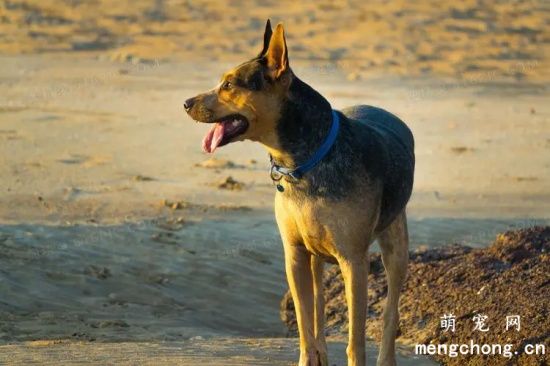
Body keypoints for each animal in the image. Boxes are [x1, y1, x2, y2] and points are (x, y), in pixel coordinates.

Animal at [184, 20, 414, 366]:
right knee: (317, 305)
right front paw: (309, 357)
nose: (185, 103)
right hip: (315, 255)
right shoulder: (294, 254)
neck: (304, 162)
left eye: (229, 84)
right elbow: (305, 324)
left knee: (390, 311)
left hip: (395, 244)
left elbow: (356, 338)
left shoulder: (354, 261)